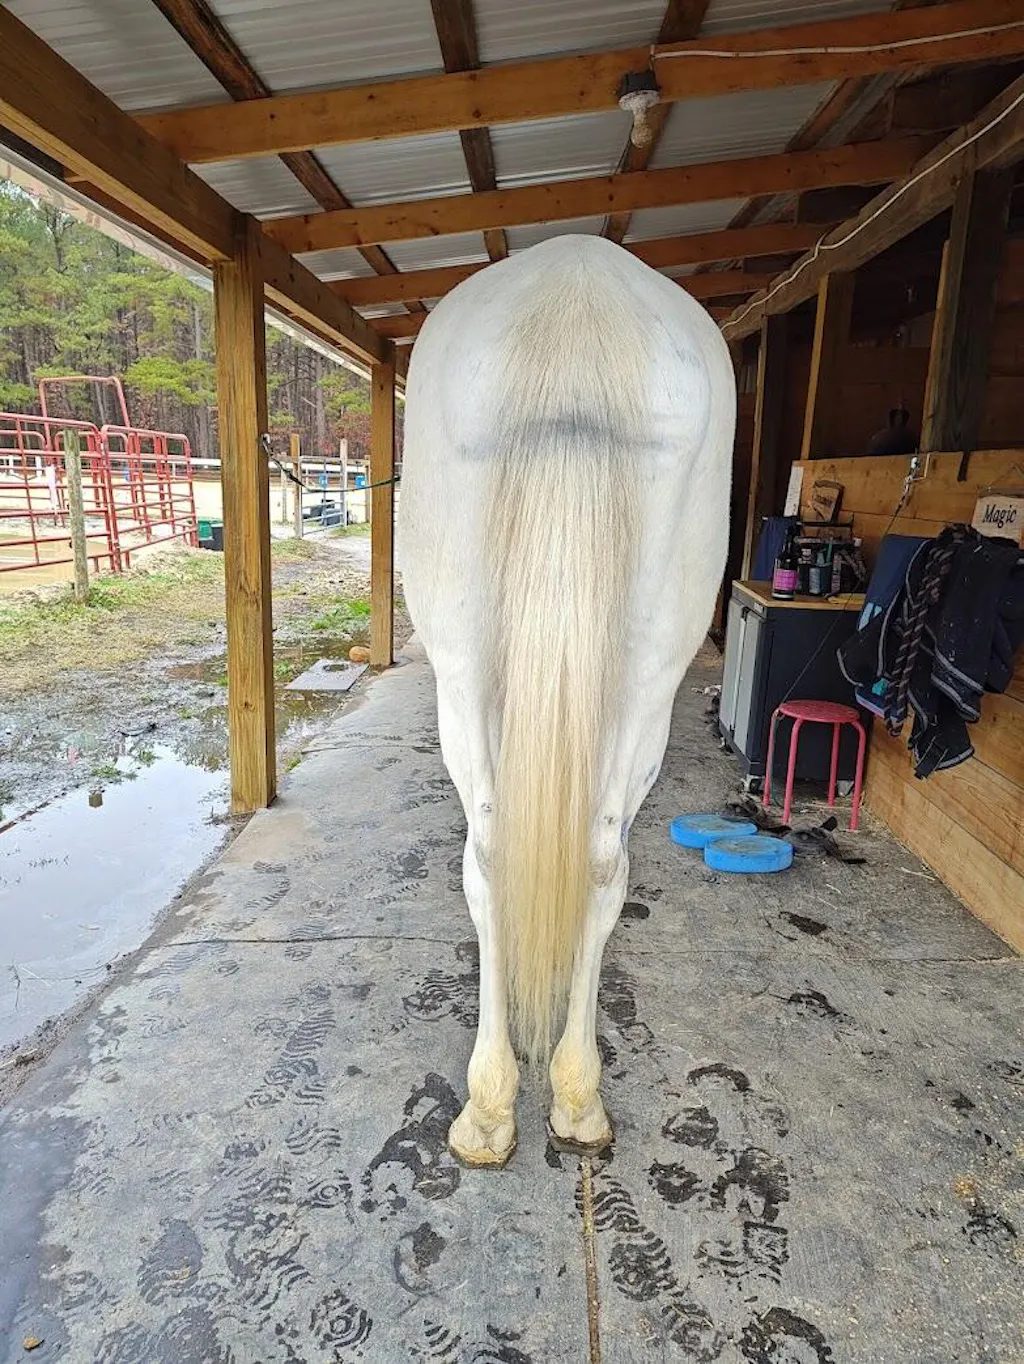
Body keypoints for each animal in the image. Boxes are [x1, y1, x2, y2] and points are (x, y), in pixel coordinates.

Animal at [398, 234, 735, 1166]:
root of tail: (576, 298)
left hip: (466, 671)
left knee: (491, 861)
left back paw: (491, 1108)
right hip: (649, 674)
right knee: (597, 860)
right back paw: (573, 1095)